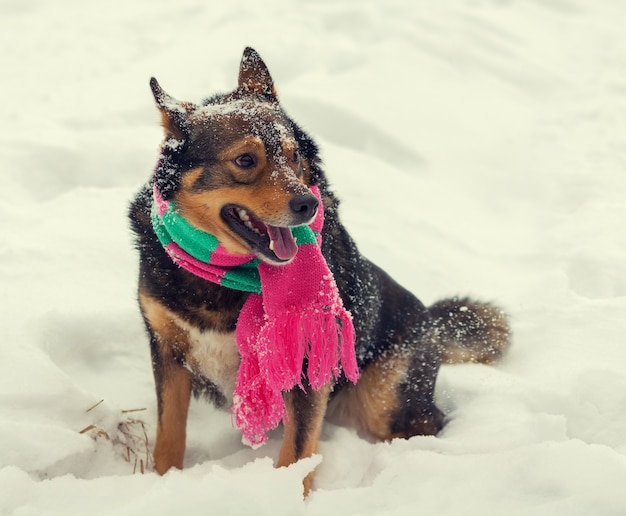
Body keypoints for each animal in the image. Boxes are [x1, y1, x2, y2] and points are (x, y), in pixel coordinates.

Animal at [129, 48, 510, 496]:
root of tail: (432, 322)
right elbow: (169, 436)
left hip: (383, 400)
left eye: (294, 155)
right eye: (245, 160)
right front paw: (161, 484)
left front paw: (283, 498)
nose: (307, 205)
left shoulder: (308, 362)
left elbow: (297, 452)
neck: (223, 274)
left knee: (428, 421)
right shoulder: (166, 350)